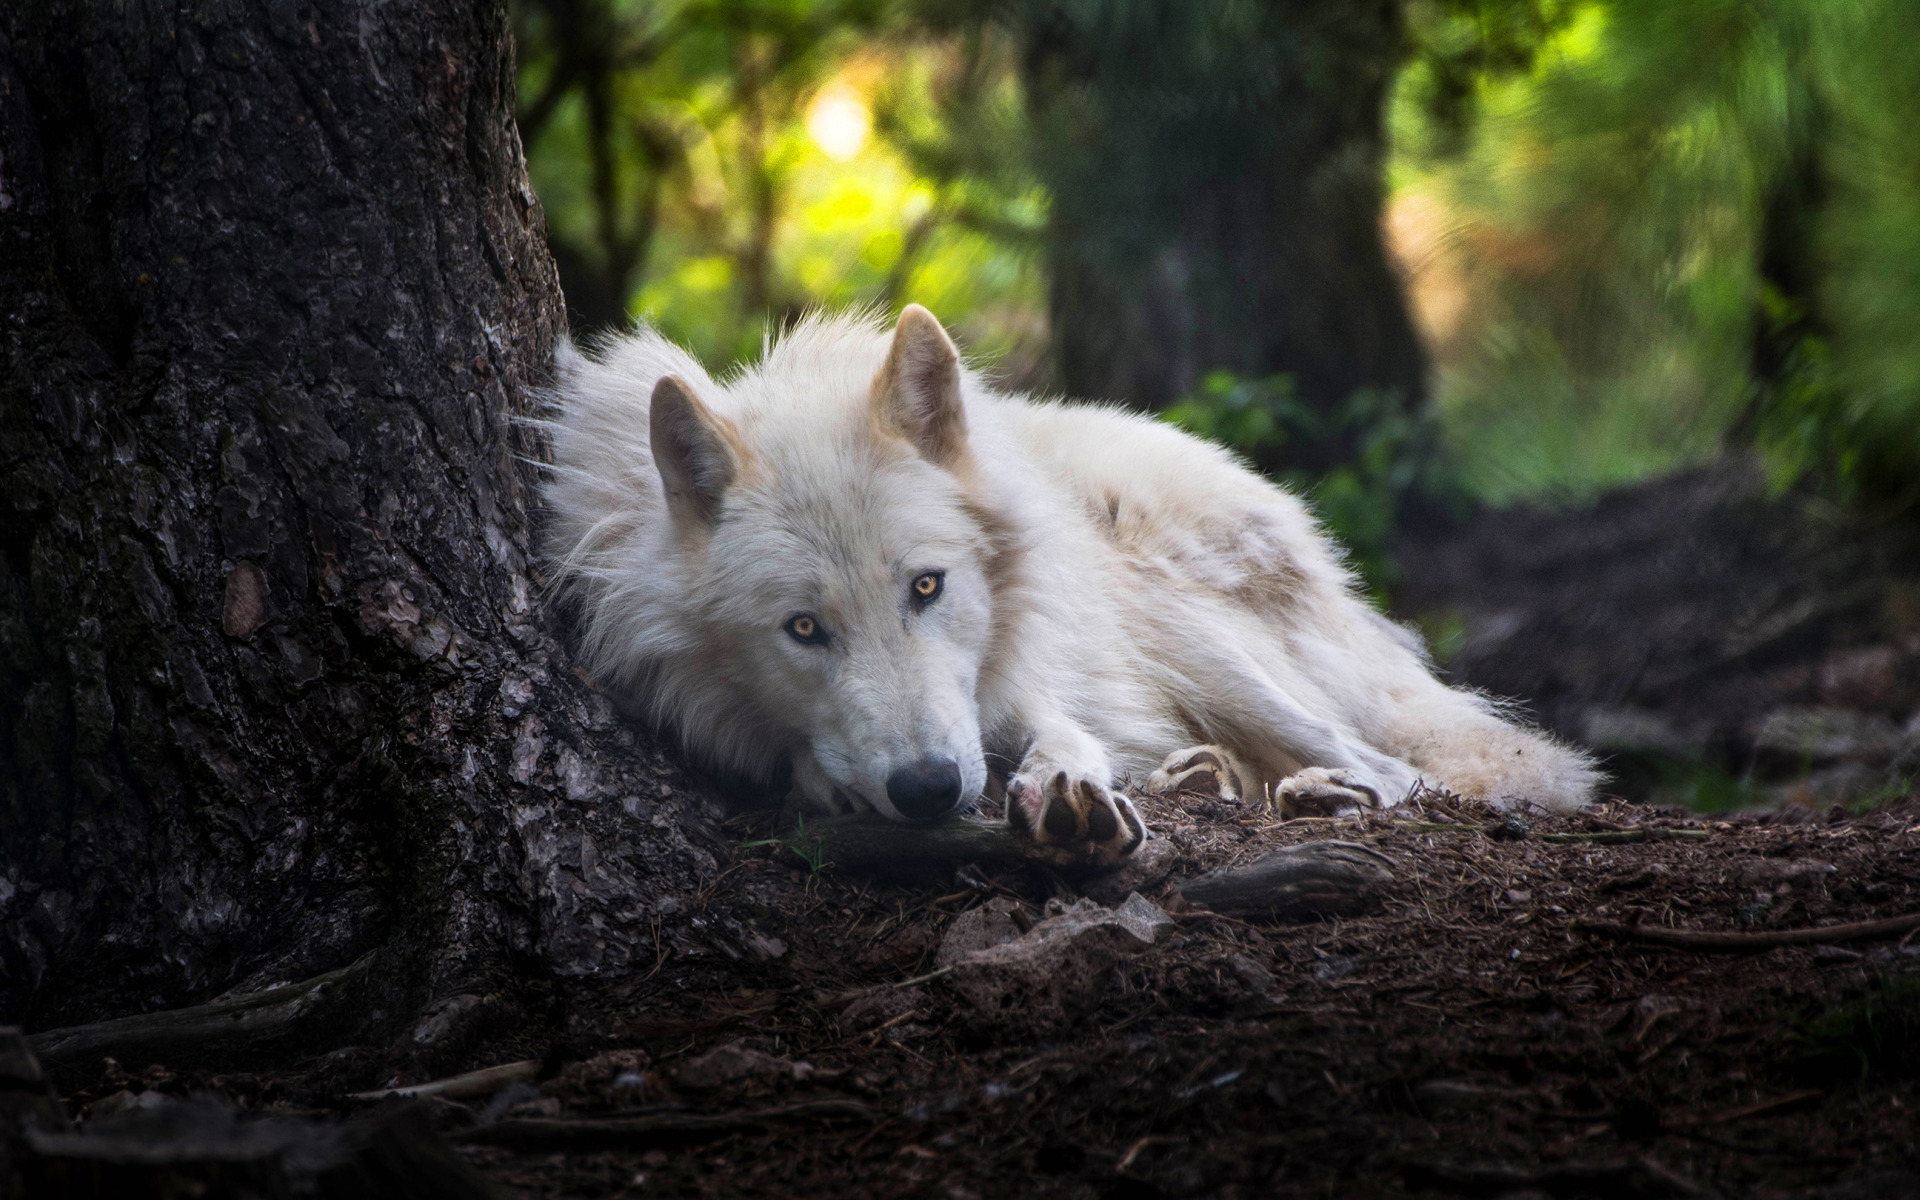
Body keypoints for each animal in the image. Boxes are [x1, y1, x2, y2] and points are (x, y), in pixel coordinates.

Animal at [541, 303, 1589, 856]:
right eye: (803, 629)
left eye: (928, 588)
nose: (928, 789)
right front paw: (828, 785)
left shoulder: (1035, 678)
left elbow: (1059, 734)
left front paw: (1066, 793)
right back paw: (1211, 775)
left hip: (1185, 632)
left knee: (1402, 769)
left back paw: (1316, 794)